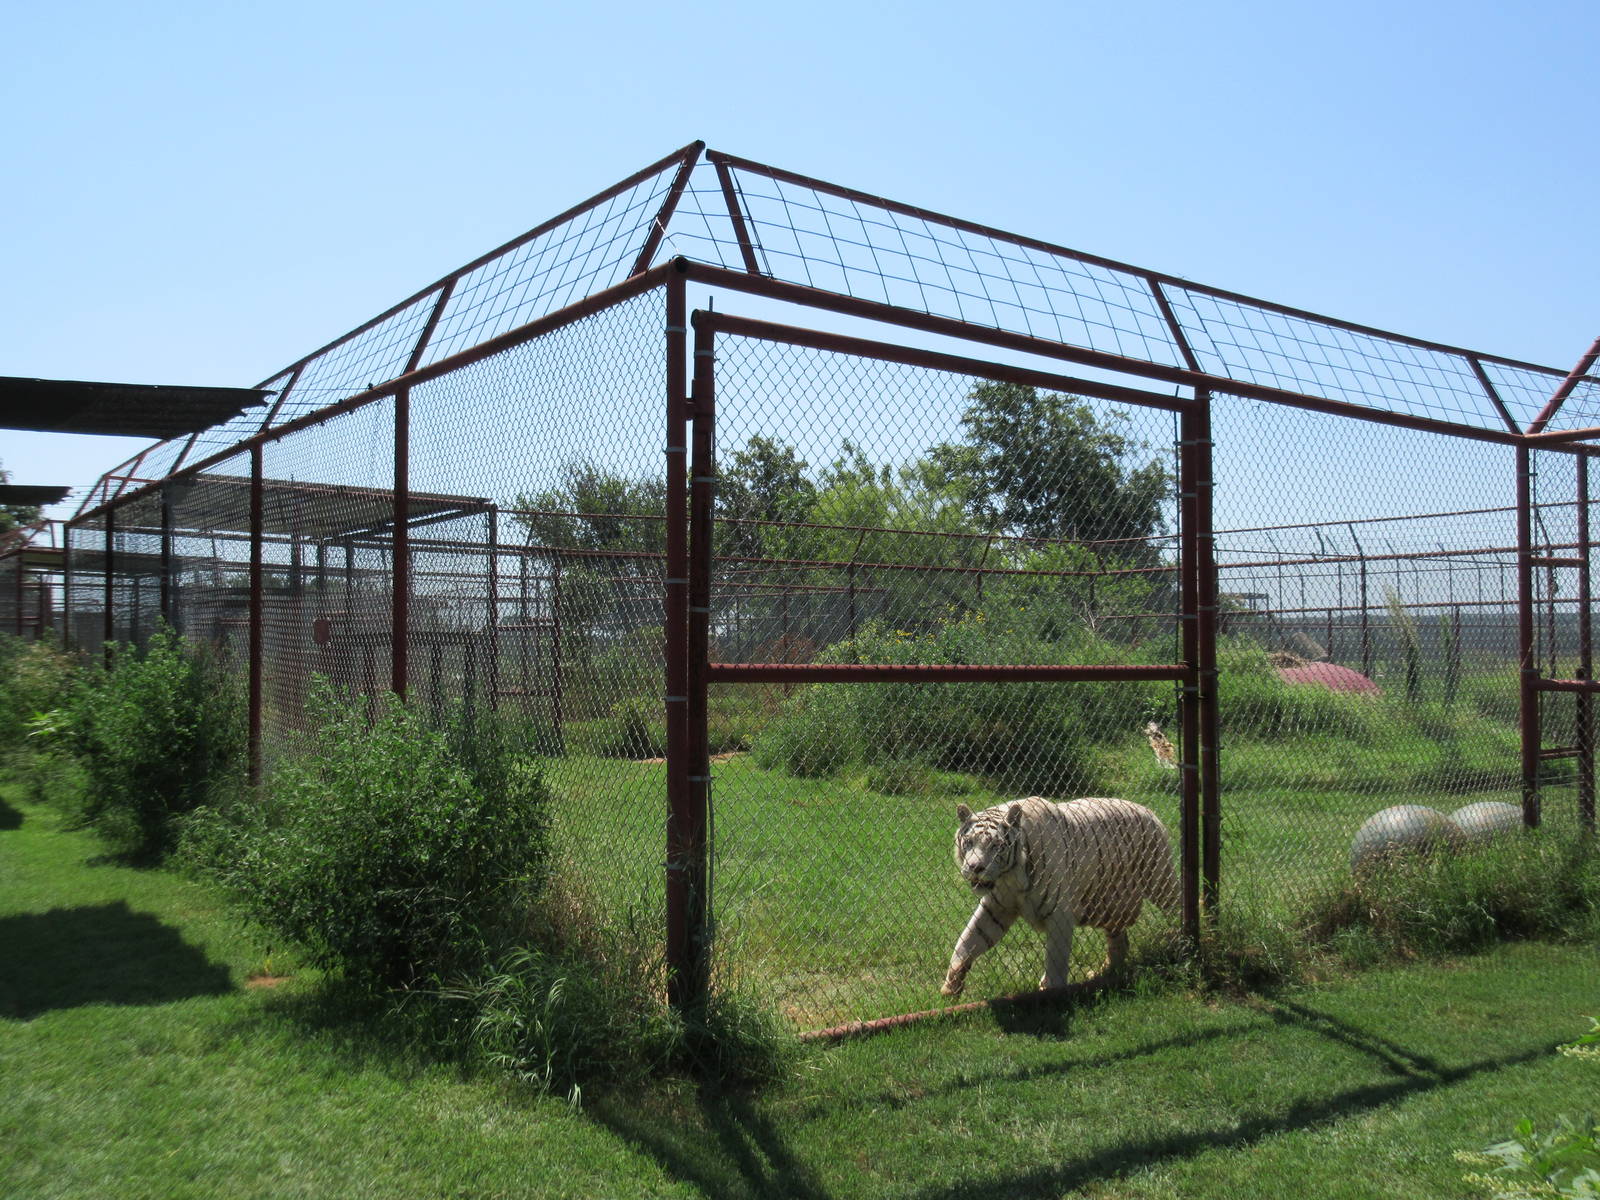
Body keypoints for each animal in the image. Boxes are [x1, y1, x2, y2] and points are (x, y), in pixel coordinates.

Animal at [941, 796, 1180, 999]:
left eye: (996, 846)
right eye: (969, 842)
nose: (975, 867)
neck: (1010, 877)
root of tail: (1148, 810)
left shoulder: (1059, 914)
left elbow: (1056, 956)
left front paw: (1051, 991)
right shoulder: (996, 907)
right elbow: (968, 940)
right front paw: (950, 987)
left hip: (1161, 881)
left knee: (1178, 907)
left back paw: (1180, 944)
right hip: (1111, 904)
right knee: (1119, 942)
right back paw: (1102, 973)